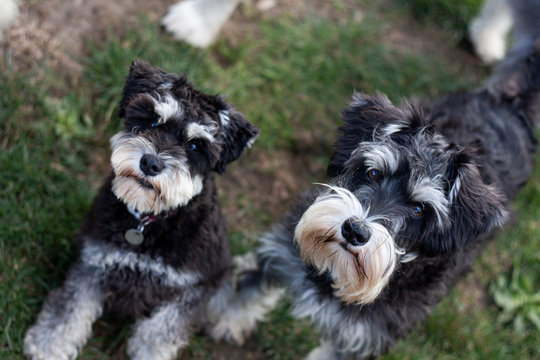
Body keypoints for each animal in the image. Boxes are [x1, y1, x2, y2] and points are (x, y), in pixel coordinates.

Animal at [24, 59, 260, 360]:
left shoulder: (190, 287)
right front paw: (48, 344)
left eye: (196, 145)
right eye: (152, 120)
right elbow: (70, 308)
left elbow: (160, 332)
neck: (150, 222)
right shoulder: (93, 262)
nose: (150, 163)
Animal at [214, 1, 540, 358]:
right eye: (372, 172)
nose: (355, 231)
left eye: (419, 210)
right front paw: (228, 320)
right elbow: (249, 288)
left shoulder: (363, 339)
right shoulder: (281, 255)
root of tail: (511, 107)